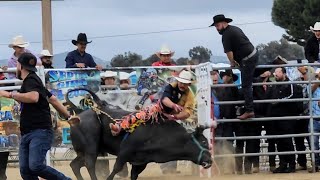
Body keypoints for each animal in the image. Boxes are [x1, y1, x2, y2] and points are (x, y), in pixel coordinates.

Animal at [67, 89, 212, 180]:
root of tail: (78, 115)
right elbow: (115, 170)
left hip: (84, 151)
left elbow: (133, 175)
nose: (210, 161)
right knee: (90, 165)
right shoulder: (124, 153)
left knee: (75, 165)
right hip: (91, 149)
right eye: (204, 142)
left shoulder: (141, 163)